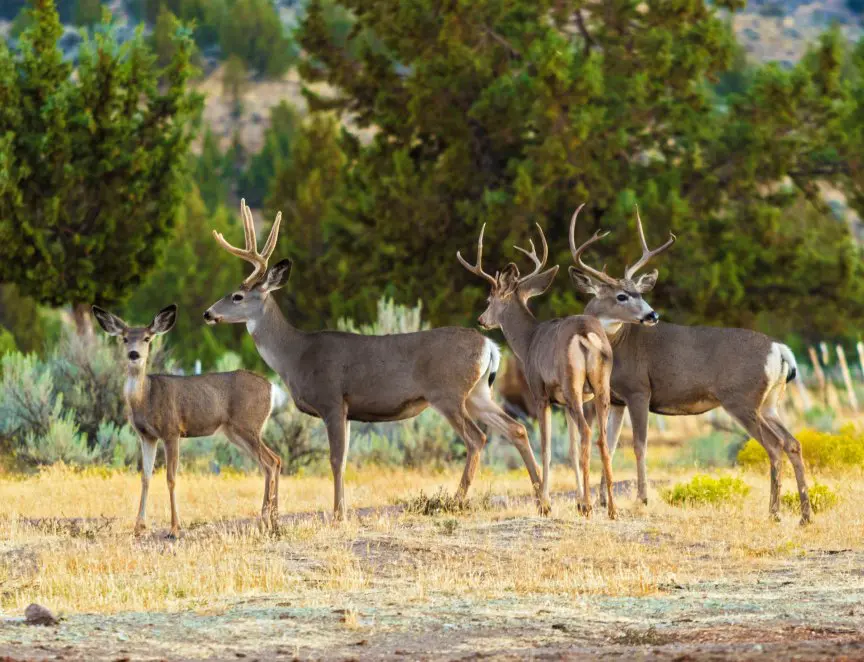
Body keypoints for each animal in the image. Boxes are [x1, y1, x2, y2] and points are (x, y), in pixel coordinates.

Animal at [92, 304, 281, 538]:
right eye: (125, 338)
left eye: (147, 338)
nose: (134, 354)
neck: (145, 397)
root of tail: (271, 387)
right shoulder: (147, 436)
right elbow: (145, 477)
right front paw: (139, 527)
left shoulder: (171, 430)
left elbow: (171, 478)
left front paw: (174, 528)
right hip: (236, 432)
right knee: (273, 461)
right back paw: (273, 523)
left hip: (247, 426)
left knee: (271, 462)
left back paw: (265, 522)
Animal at [203, 200, 544, 520]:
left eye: (237, 296)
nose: (207, 313)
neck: (295, 355)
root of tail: (489, 345)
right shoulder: (347, 410)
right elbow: (344, 459)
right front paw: (341, 510)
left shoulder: (331, 399)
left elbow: (335, 459)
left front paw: (338, 515)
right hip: (478, 393)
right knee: (516, 429)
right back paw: (542, 500)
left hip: (448, 393)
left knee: (476, 439)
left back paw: (454, 501)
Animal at [457, 223, 617, 518]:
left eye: (489, 298)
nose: (482, 320)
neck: (529, 341)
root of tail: (586, 334)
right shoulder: (567, 402)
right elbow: (571, 450)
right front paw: (577, 502)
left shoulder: (540, 393)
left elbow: (546, 448)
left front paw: (546, 503)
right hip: (602, 387)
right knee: (602, 439)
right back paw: (611, 509)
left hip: (571, 383)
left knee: (588, 433)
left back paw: (592, 506)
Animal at [565, 204, 812, 524]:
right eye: (621, 295)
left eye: (640, 294)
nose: (652, 315)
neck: (617, 344)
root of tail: (780, 350)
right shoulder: (617, 398)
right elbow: (609, 443)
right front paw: (601, 501)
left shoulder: (639, 390)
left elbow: (639, 445)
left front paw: (642, 499)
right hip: (769, 403)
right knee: (793, 443)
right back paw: (804, 516)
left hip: (742, 400)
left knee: (774, 446)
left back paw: (774, 513)